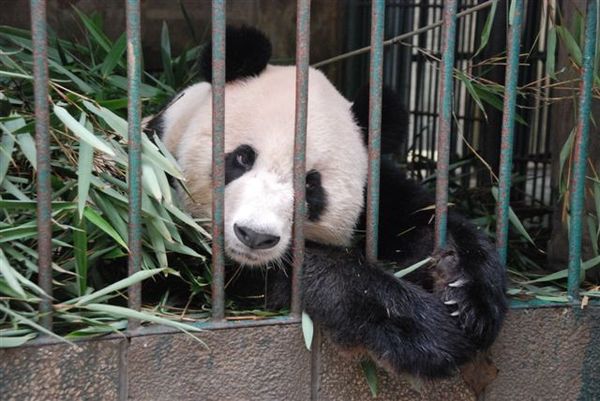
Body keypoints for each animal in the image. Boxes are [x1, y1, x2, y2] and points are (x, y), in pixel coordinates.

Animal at [146, 26, 506, 376]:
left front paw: (465, 292)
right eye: (243, 157)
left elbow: (421, 217)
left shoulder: (377, 190)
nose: (255, 236)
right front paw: (424, 332)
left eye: (310, 184)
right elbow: (188, 268)